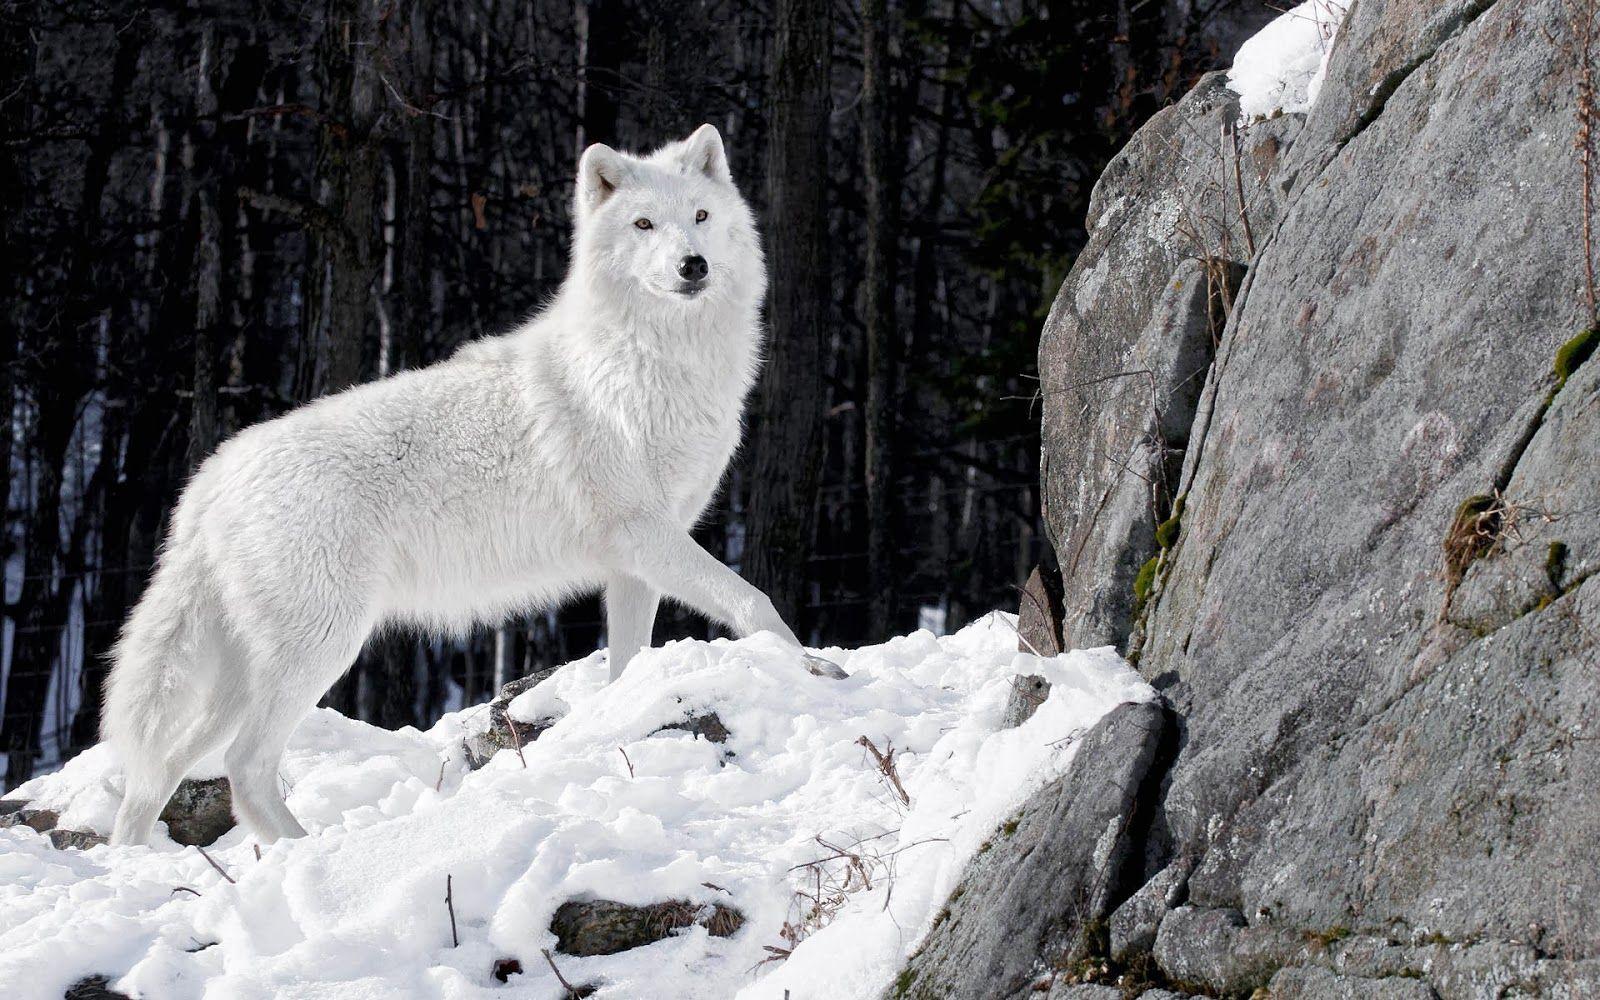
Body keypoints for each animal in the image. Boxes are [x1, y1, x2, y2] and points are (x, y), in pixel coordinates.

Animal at [103, 124, 837, 847]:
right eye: (644, 224)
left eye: (701, 217)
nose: (693, 265)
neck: (653, 363)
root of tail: (211, 478)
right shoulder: (644, 533)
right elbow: (752, 600)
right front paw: (814, 668)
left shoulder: (636, 562)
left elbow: (628, 663)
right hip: (322, 647)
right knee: (244, 766)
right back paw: (314, 853)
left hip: (244, 677)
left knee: (160, 771)